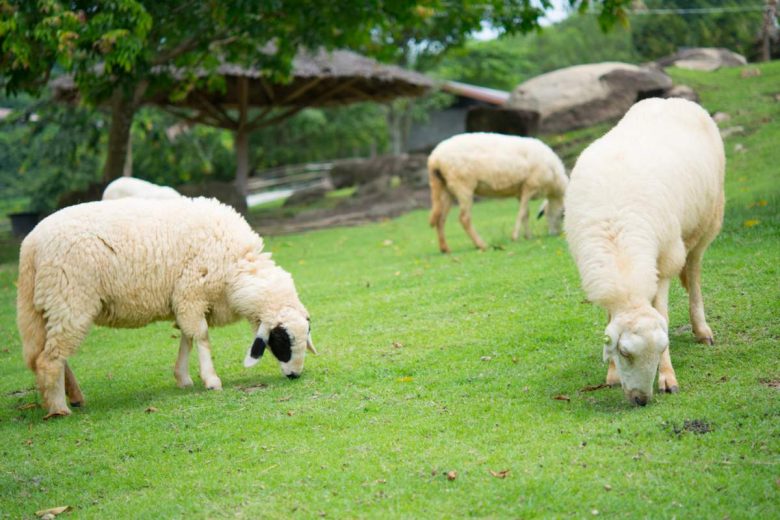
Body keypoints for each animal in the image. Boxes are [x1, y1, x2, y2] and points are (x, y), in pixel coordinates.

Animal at [15, 196, 316, 418]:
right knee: (49, 359)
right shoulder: (191, 293)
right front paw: (211, 380)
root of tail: (30, 245)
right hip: (70, 298)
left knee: (49, 353)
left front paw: (183, 377)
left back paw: (74, 396)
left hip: (45, 306)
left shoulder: (184, 300)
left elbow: (186, 337)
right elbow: (201, 336)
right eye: (281, 340)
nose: (295, 375)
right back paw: (59, 408)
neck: (238, 267)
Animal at [426, 133, 568, 253]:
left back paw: (445, 249)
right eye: (562, 215)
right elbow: (522, 213)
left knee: (440, 219)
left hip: (445, 188)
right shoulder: (530, 185)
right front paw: (515, 236)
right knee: (464, 218)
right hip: (463, 185)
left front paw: (527, 235)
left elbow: (526, 213)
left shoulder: (521, 191)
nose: (554, 233)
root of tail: (435, 159)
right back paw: (481, 245)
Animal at [568, 97, 724, 406]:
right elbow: (610, 320)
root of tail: (673, 99)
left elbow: (661, 311)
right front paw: (612, 374)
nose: (642, 400)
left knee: (694, 273)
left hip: (707, 223)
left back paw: (702, 330)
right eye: (624, 352)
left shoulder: (665, 261)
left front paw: (668, 378)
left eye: (662, 348)